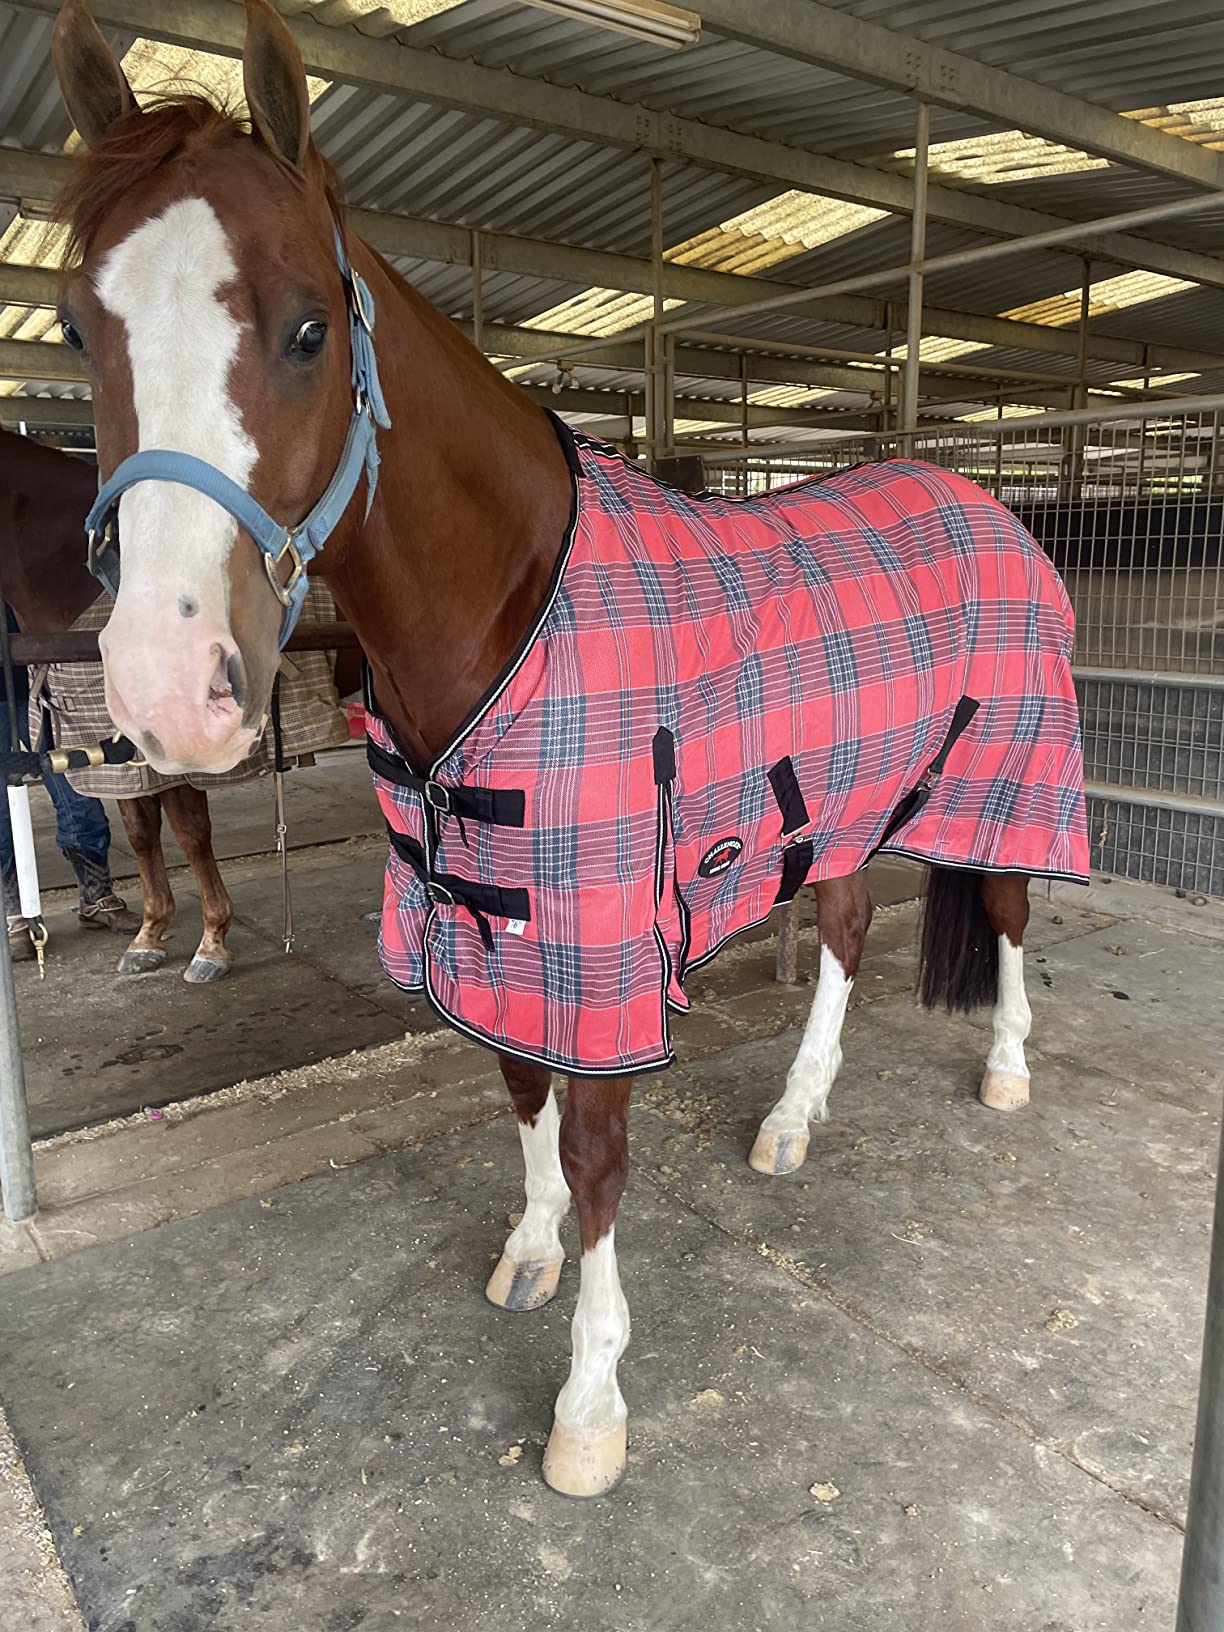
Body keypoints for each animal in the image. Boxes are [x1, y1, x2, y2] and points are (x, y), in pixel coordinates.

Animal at [50, 0, 1089, 1498]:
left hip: (1005, 779)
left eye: (307, 329)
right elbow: (520, 1096)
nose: (162, 687)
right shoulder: (493, 924)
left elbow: (597, 1154)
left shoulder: (599, 946)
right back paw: (794, 1119)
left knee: (1006, 906)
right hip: (839, 806)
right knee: (841, 934)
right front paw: (528, 1252)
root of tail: (985, 503)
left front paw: (591, 1405)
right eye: (81, 328)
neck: (506, 607)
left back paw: (1005, 1068)